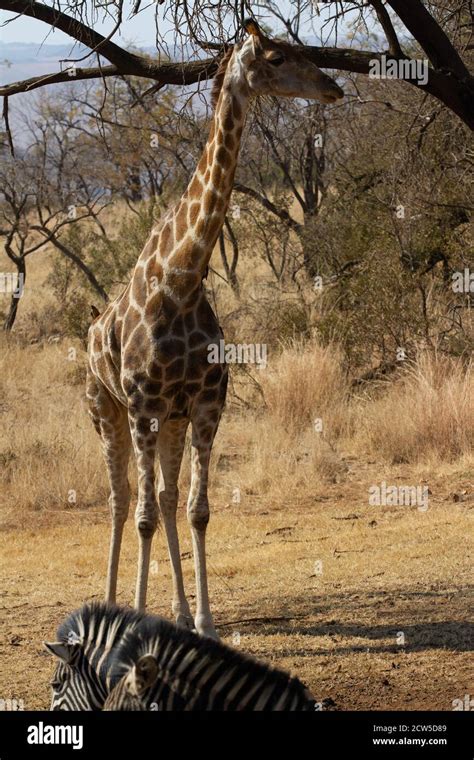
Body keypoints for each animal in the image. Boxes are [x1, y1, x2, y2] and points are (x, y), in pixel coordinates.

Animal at [86, 17, 344, 640]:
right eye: (276, 57)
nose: (333, 88)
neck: (180, 280)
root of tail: (90, 329)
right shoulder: (143, 405)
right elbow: (143, 516)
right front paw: (138, 617)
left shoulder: (204, 403)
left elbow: (195, 509)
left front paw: (203, 620)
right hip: (106, 411)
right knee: (121, 499)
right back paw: (111, 606)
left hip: (169, 421)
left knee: (163, 495)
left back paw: (177, 613)